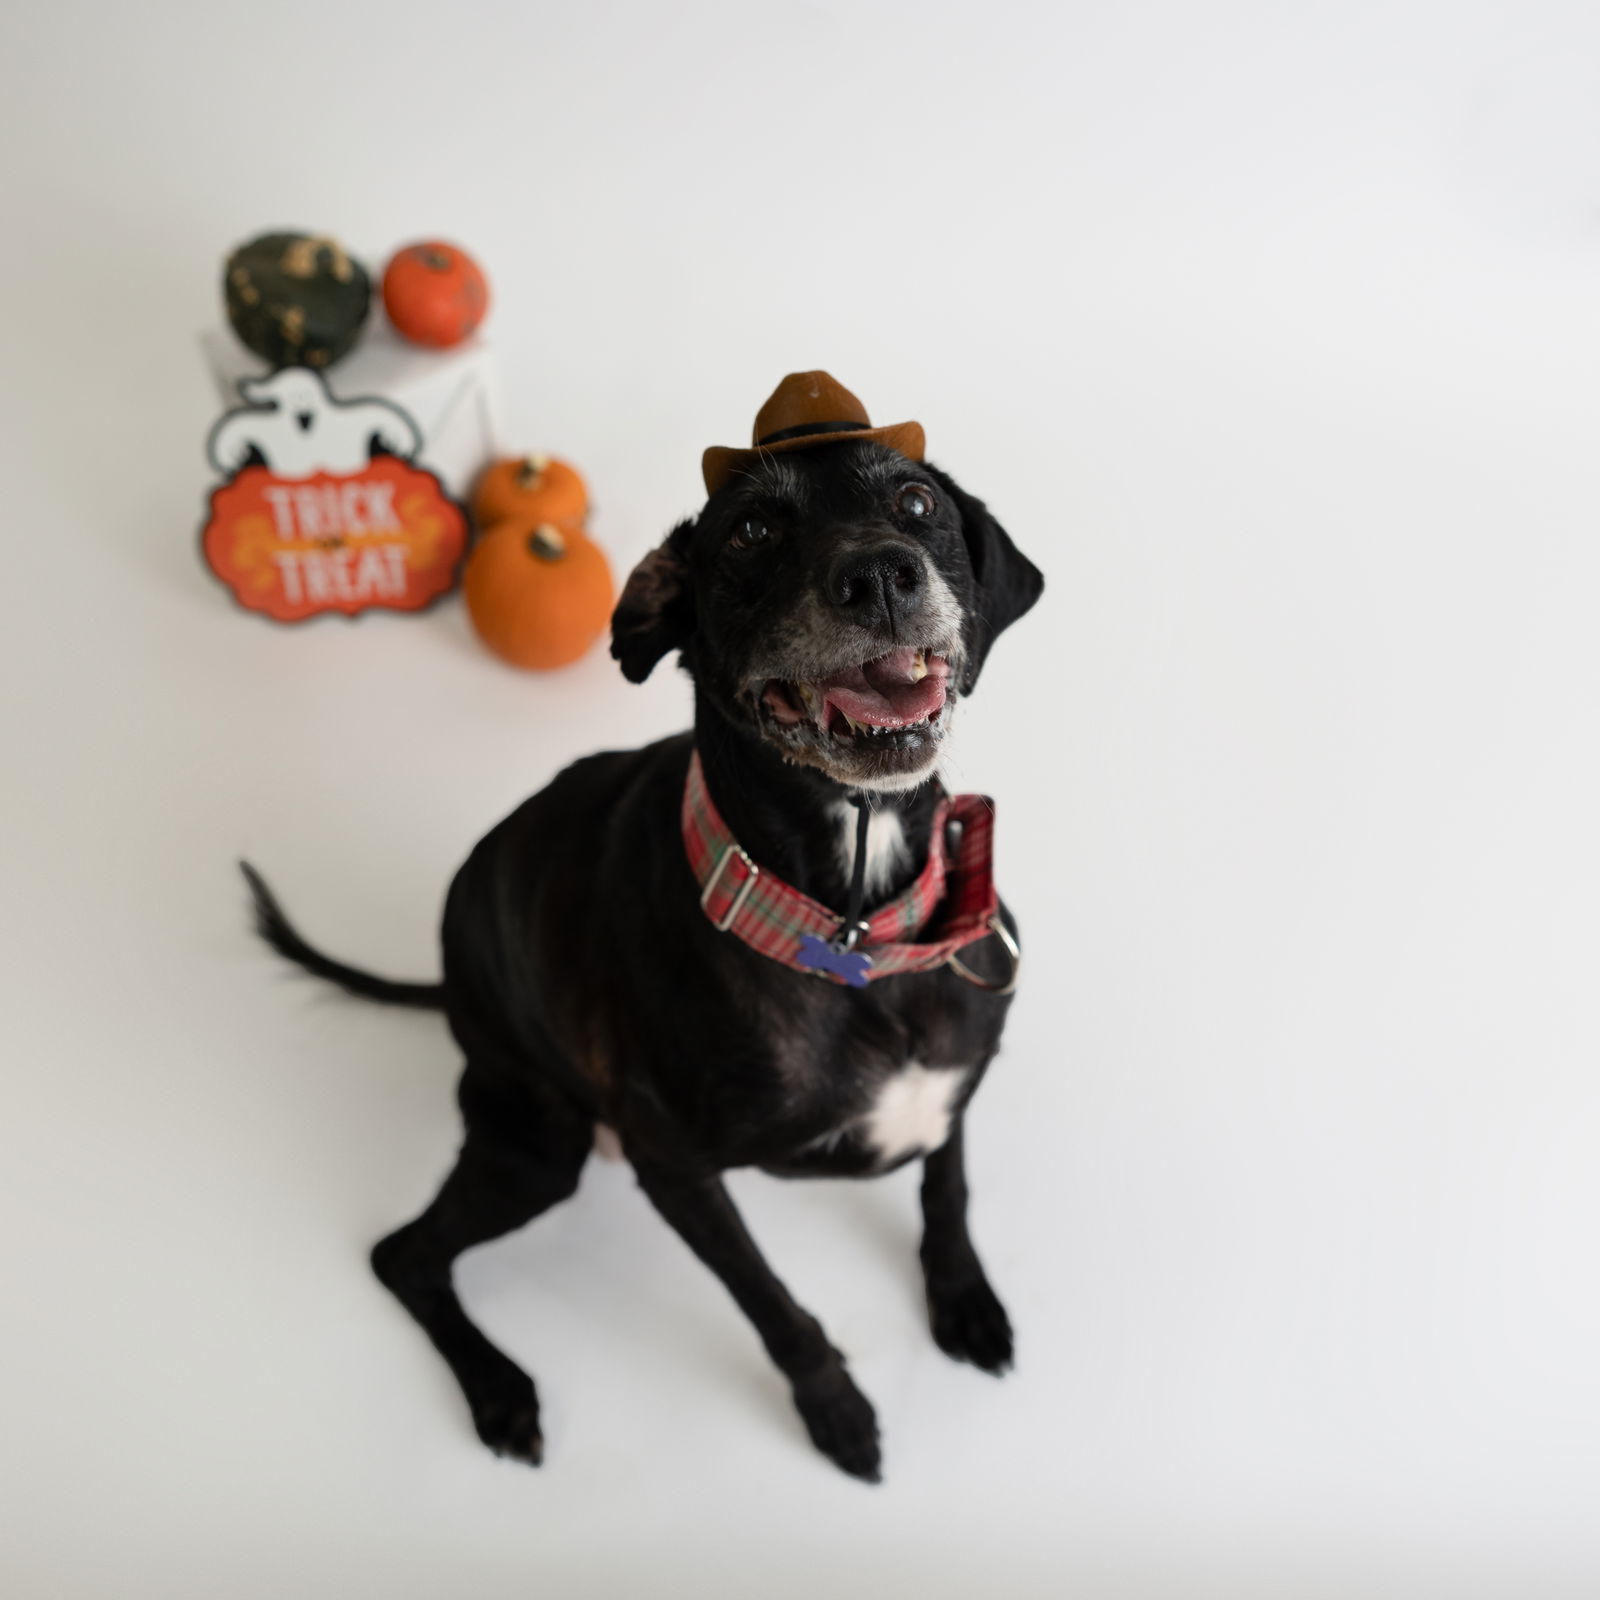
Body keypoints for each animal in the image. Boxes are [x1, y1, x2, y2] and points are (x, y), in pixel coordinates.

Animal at [243, 422, 1043, 1472]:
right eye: (748, 532)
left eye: (916, 503)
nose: (879, 575)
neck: (855, 934)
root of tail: (449, 974)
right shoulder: (674, 1169)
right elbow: (772, 1304)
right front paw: (834, 1409)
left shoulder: (954, 1084)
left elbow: (947, 1192)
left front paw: (964, 1302)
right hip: (539, 1146)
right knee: (401, 1257)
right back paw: (499, 1392)